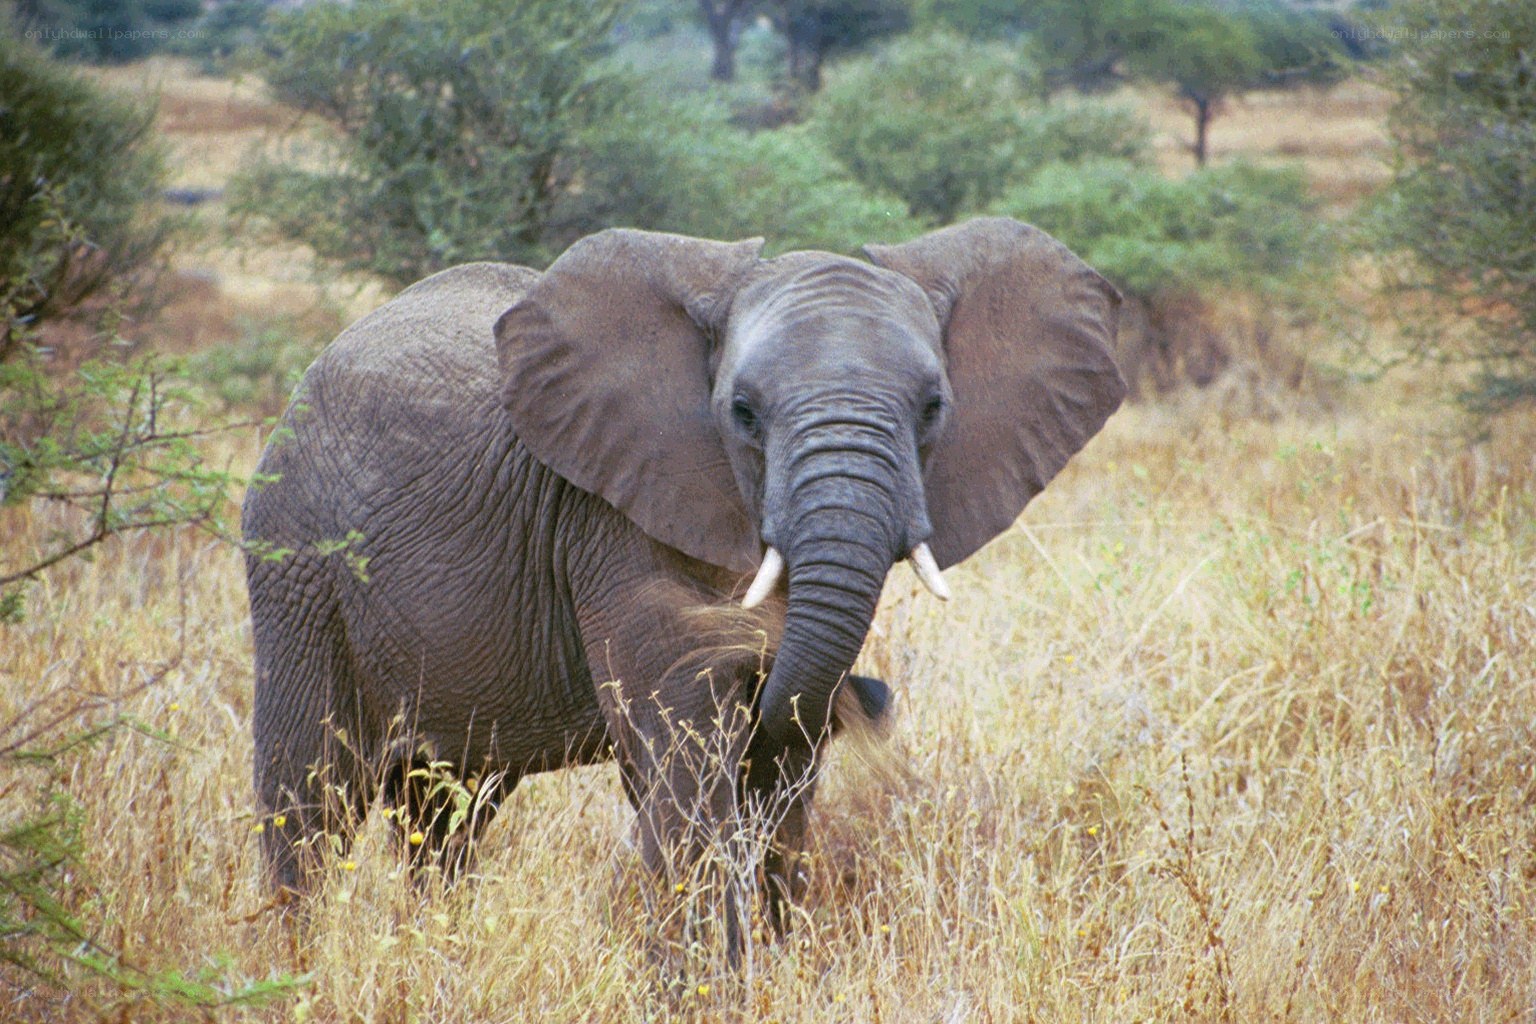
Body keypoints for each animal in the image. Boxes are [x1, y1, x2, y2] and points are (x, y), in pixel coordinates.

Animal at [242, 217, 1125, 943]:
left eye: (934, 407)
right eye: (742, 413)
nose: (871, 696)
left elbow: (782, 757)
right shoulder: (607, 509)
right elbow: (679, 707)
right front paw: (710, 983)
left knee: (448, 811)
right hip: (294, 562)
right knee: (312, 797)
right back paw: (300, 962)